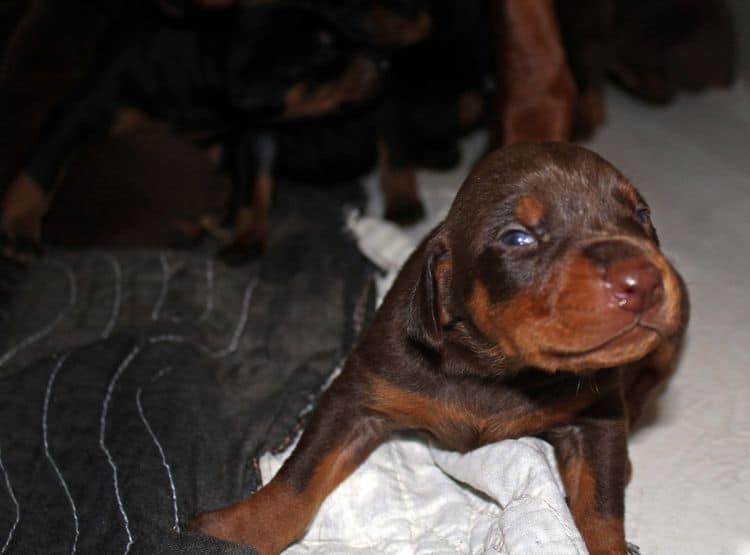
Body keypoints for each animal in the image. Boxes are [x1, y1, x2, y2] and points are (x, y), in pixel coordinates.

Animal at [191, 143, 692, 555]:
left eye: (640, 214)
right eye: (517, 238)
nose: (642, 280)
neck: (498, 367)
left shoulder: (597, 416)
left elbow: (603, 510)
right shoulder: (360, 394)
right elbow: (299, 477)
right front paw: (235, 531)